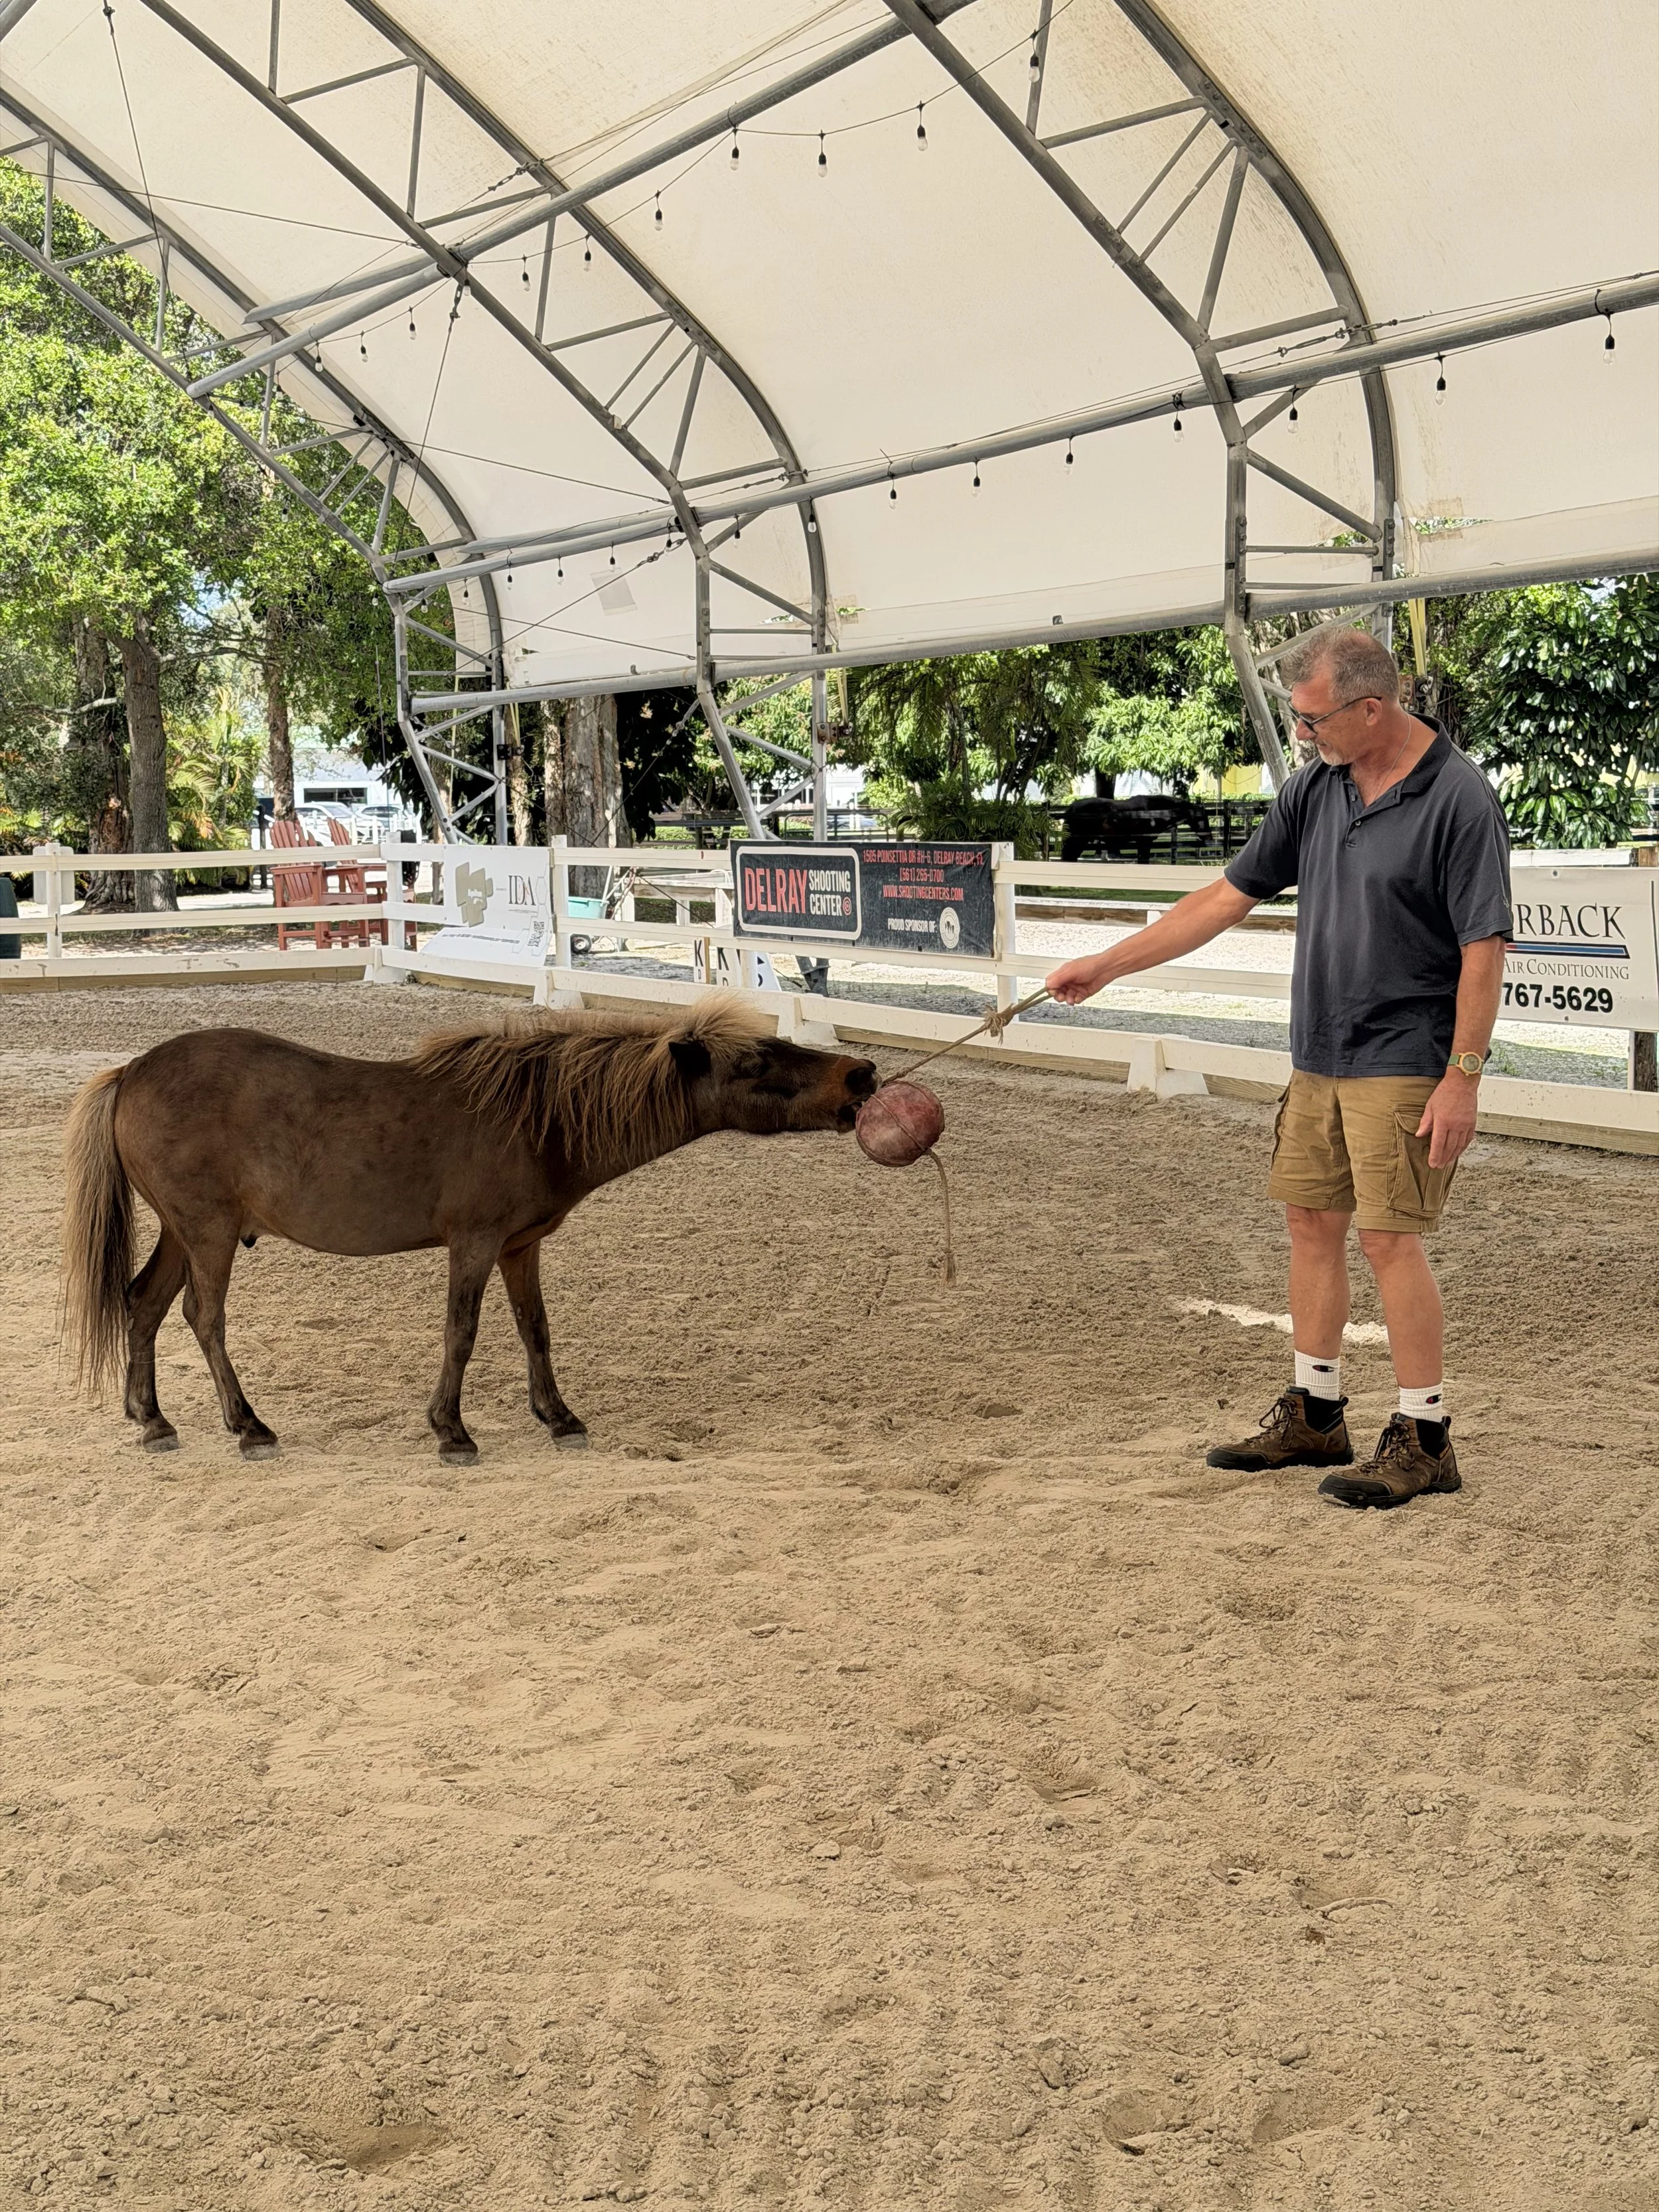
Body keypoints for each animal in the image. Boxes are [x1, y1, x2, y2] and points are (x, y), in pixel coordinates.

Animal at [62, 997, 878, 1466]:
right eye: (757, 1060)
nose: (862, 1075)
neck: (539, 1118)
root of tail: (131, 1072)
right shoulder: (475, 1244)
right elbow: (463, 1332)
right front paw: (450, 1430)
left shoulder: (521, 1247)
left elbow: (534, 1329)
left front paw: (558, 1416)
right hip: (208, 1234)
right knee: (204, 1318)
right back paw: (248, 1426)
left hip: (183, 1232)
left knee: (142, 1304)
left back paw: (153, 1420)